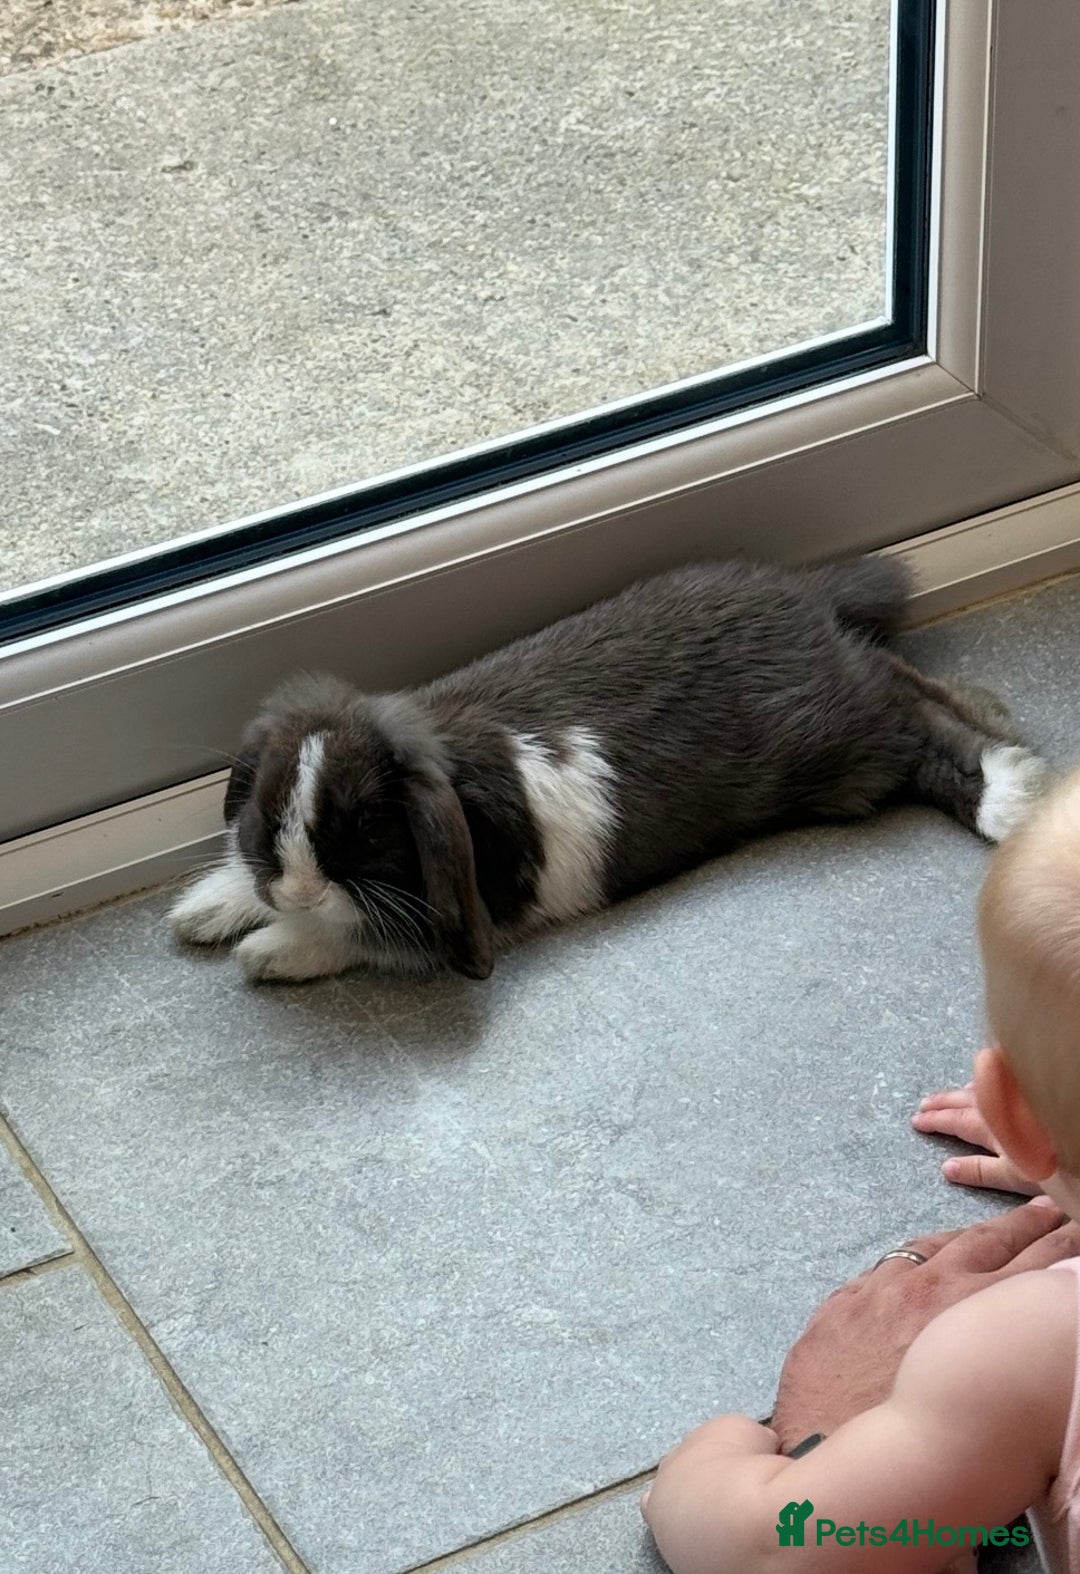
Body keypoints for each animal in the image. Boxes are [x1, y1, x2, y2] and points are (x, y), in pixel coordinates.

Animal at [169, 555, 1052, 982]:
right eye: (266, 811)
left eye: (363, 828)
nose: (293, 890)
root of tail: (810, 597)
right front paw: (206, 910)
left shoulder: (469, 905)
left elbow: (366, 931)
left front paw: (270, 950)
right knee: (915, 684)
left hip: (844, 746)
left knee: (919, 718)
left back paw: (1015, 795)